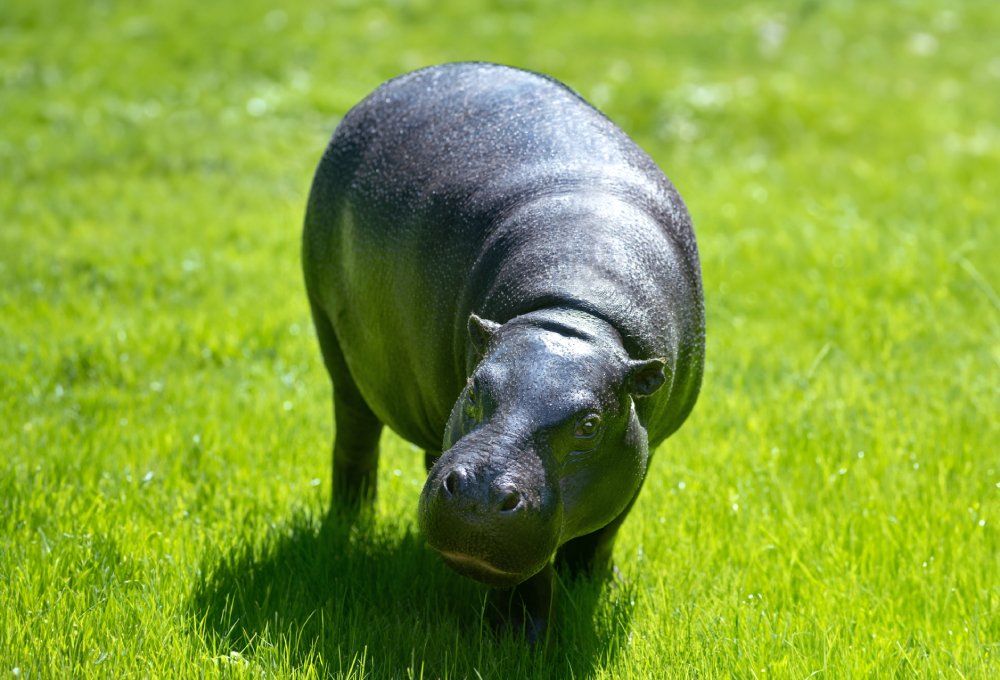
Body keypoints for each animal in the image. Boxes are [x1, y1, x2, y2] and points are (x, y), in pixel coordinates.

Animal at [302, 62, 704, 642]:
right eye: (475, 388)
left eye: (590, 424)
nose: (479, 494)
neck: (574, 318)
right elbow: (529, 575)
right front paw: (519, 638)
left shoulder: (644, 451)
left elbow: (604, 529)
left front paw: (594, 584)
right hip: (337, 351)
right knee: (355, 439)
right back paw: (350, 525)